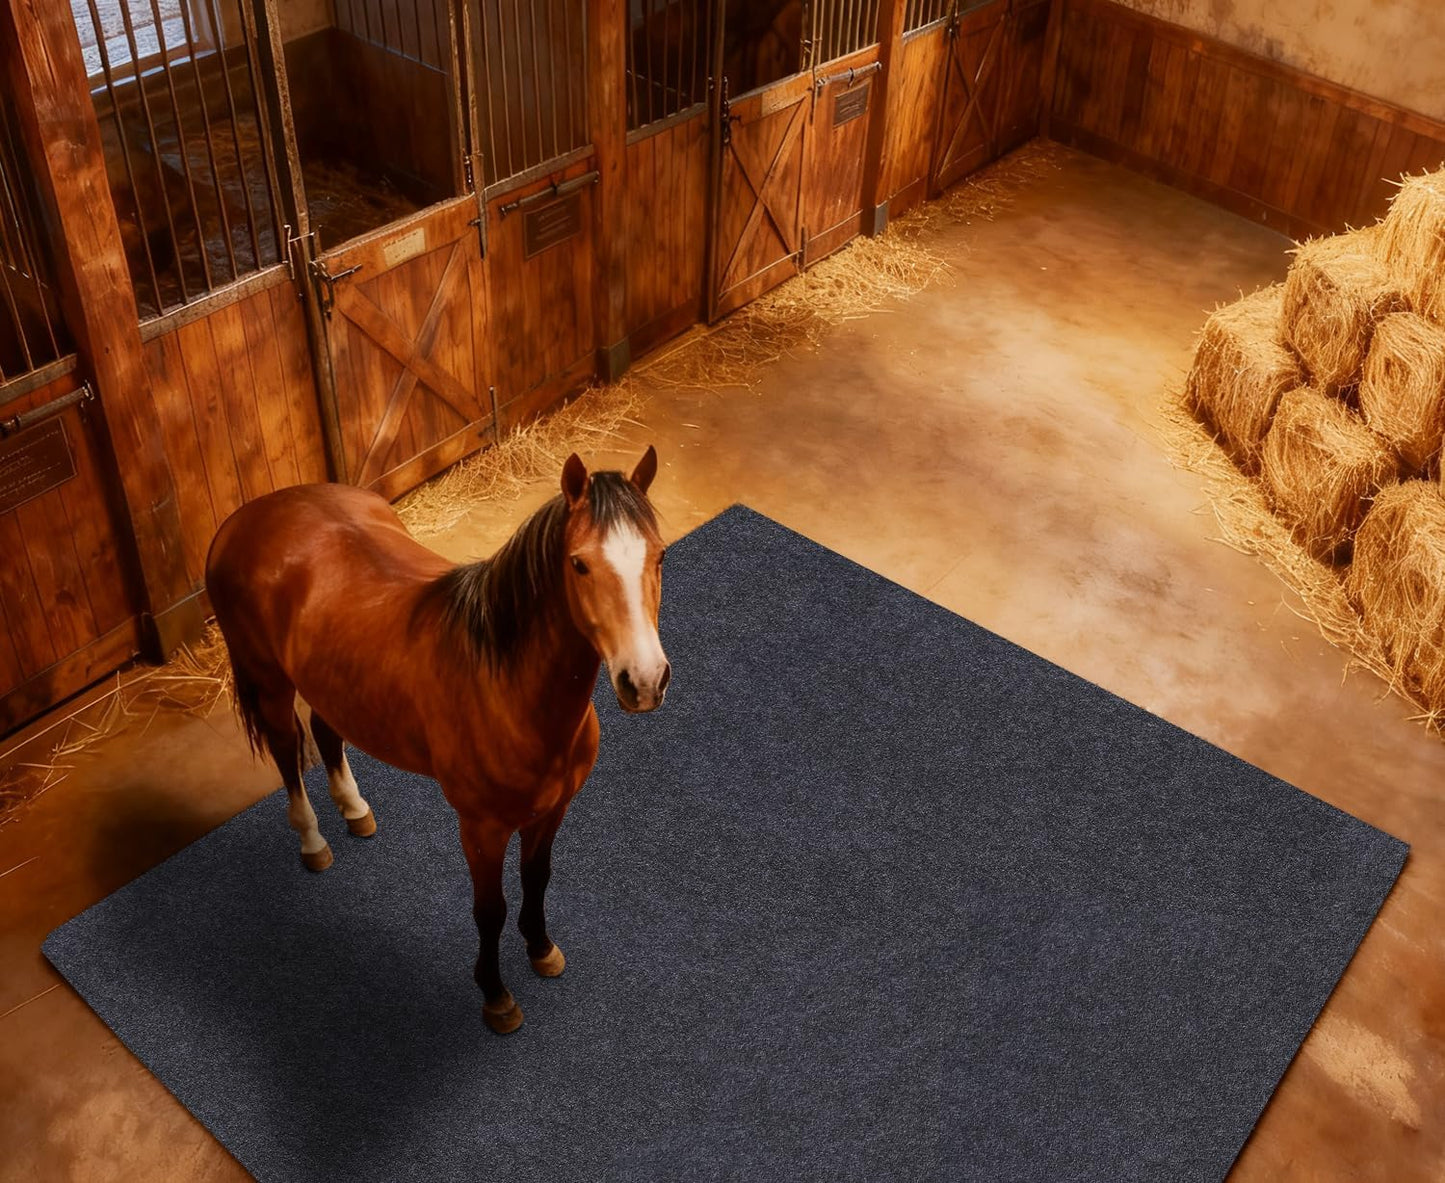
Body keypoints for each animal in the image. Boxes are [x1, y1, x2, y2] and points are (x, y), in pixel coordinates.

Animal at [204, 448, 670, 1034]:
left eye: (660, 556)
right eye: (580, 564)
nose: (645, 682)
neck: (506, 686)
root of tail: (248, 517)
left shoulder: (552, 810)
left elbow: (537, 877)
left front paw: (541, 950)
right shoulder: (481, 828)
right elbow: (489, 910)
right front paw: (496, 996)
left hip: (332, 680)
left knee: (327, 734)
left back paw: (355, 810)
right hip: (269, 681)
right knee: (289, 752)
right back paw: (314, 843)